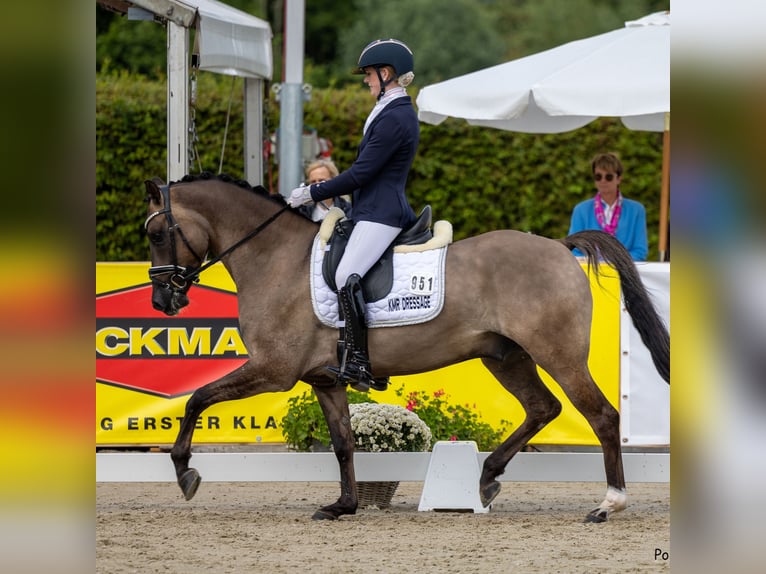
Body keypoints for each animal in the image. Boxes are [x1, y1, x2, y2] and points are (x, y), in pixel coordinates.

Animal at [144, 173, 672, 524]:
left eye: (156, 233)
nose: (163, 301)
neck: (275, 258)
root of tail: (561, 247)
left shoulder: (273, 370)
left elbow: (196, 399)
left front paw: (184, 472)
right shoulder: (324, 379)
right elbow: (343, 441)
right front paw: (344, 505)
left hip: (557, 354)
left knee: (601, 415)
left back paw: (608, 503)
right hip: (505, 356)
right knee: (543, 408)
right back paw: (487, 477)